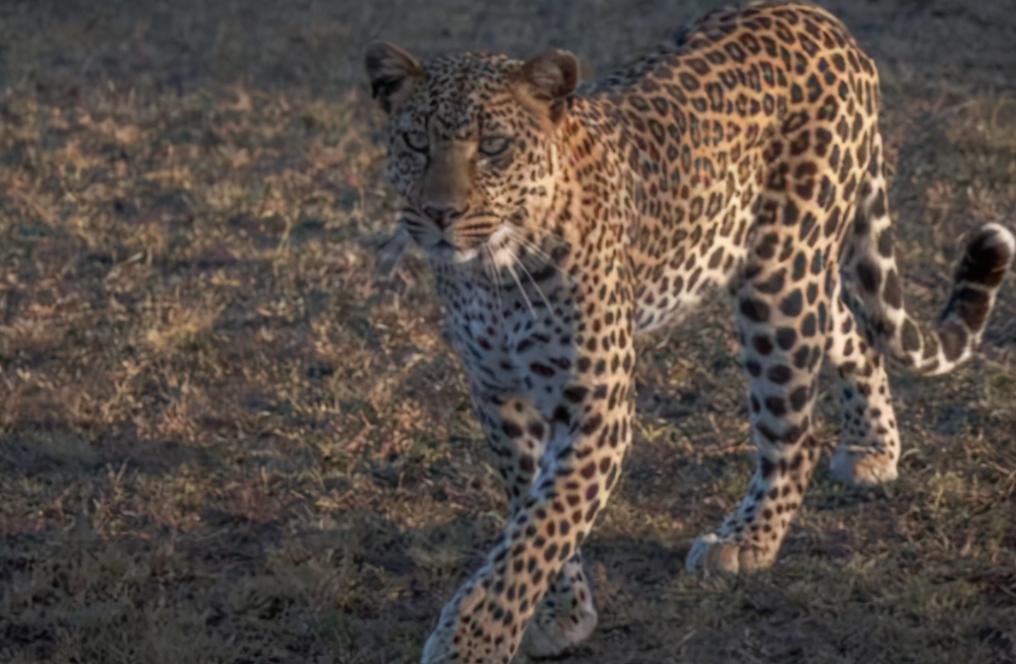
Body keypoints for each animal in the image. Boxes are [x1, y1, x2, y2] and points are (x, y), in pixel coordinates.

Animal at [361, 2, 1011, 661]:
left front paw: (474, 638)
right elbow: (530, 511)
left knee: (793, 436)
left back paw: (748, 539)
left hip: (779, 281)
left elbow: (542, 527)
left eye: (493, 147)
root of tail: (825, 20)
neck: (494, 274)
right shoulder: (500, 396)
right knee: (855, 328)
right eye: (415, 142)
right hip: (792, 269)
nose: (442, 214)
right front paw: (559, 610)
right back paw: (873, 446)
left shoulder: (598, 407)